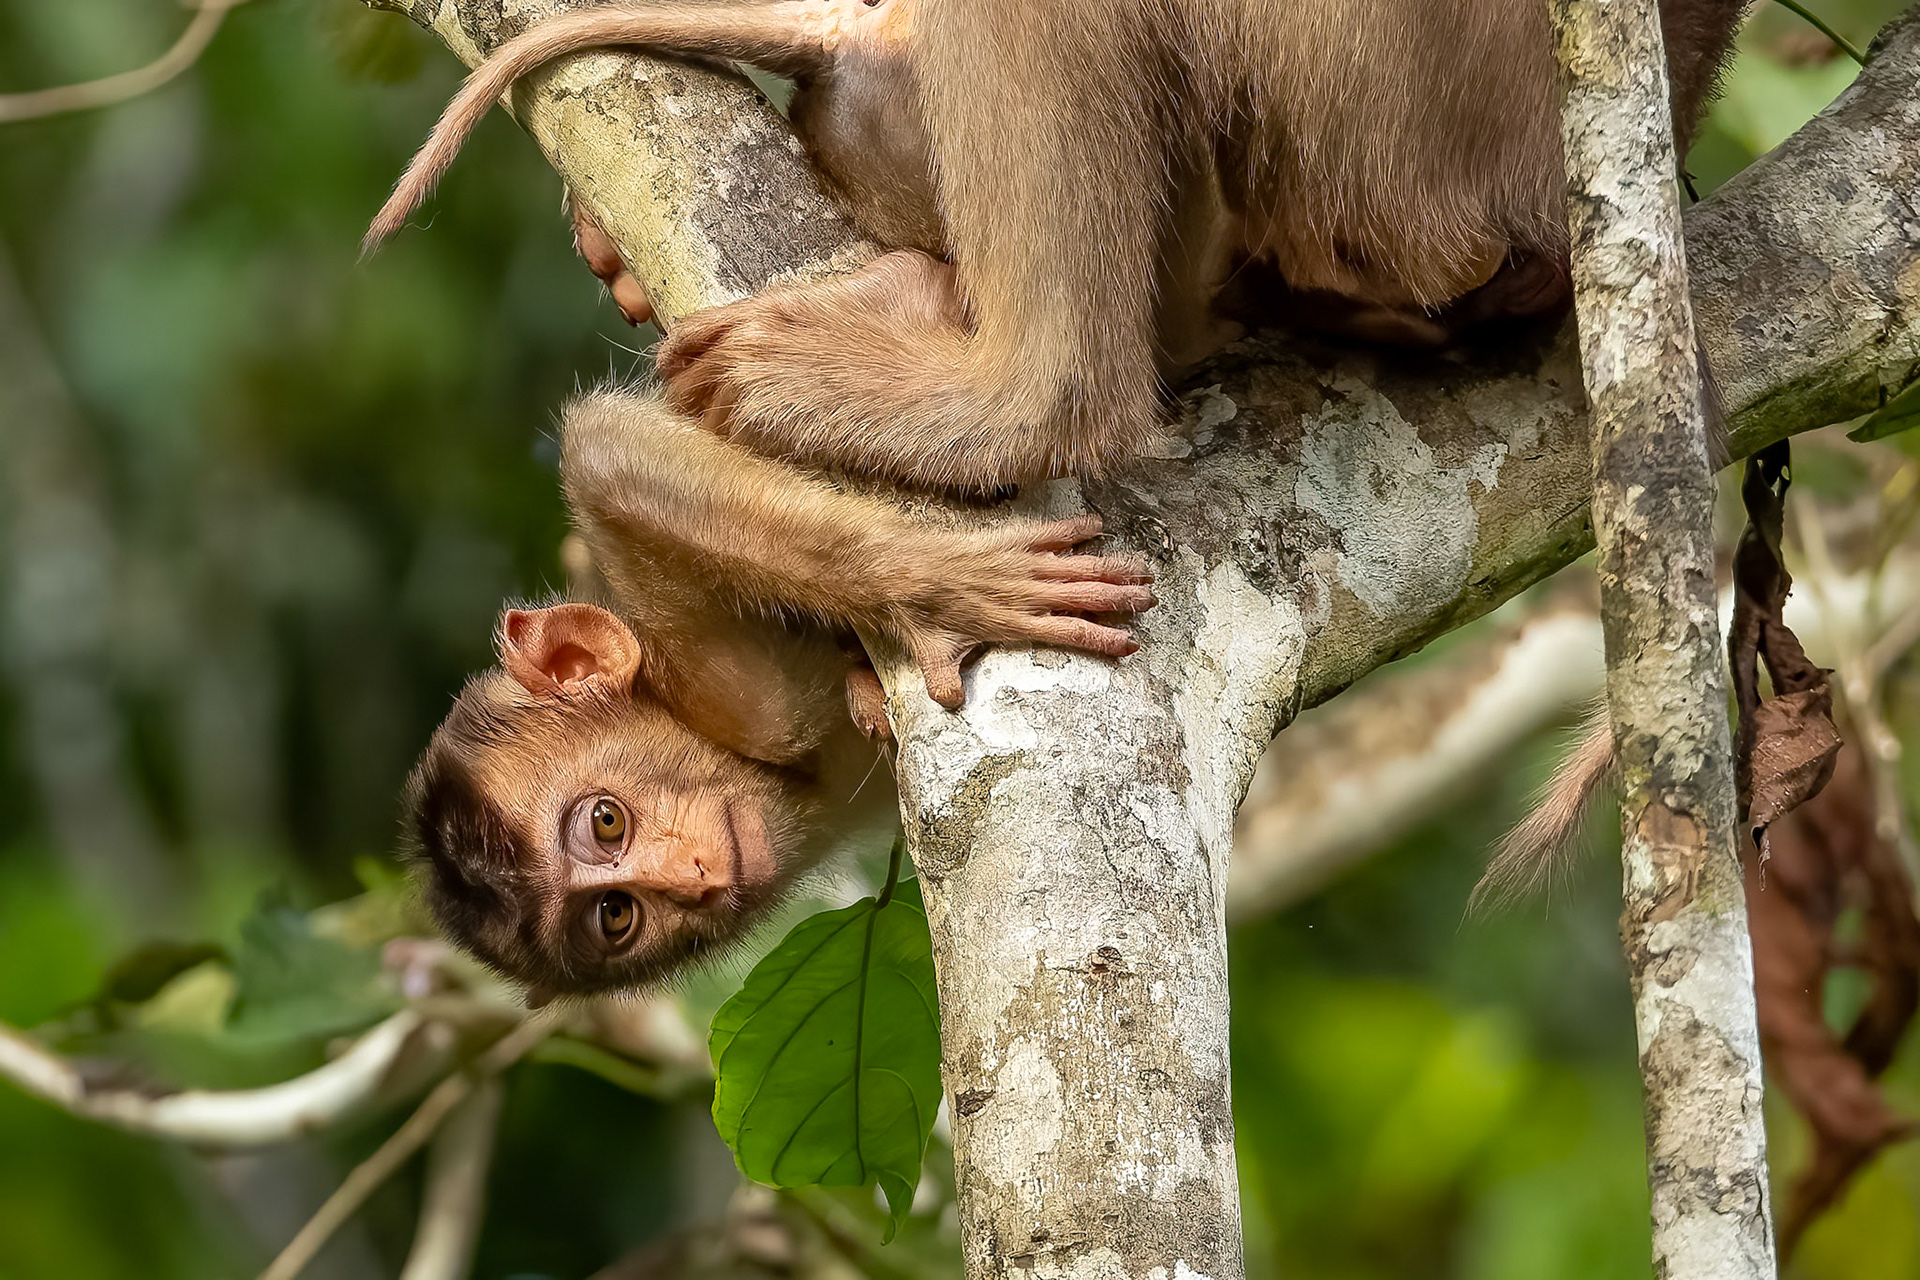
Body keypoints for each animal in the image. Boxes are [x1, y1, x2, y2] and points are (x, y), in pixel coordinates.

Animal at [405, 386, 1155, 1002]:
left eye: (606, 822)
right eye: (617, 915)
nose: (692, 881)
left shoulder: (740, 704)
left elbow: (606, 452)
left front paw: (937, 589)